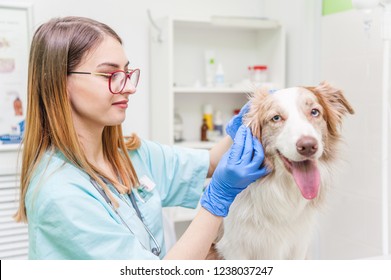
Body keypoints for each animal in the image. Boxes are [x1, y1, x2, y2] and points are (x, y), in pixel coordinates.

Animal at [214, 82, 356, 260]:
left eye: (314, 112)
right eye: (276, 118)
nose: (308, 146)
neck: (282, 188)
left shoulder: (298, 245)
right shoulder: (234, 248)